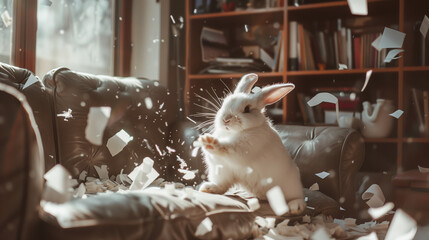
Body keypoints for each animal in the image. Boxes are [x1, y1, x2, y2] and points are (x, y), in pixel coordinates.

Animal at [196, 72, 304, 214]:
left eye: (247, 109)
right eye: (224, 103)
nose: (226, 119)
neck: (235, 132)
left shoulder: (243, 150)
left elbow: (229, 149)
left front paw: (211, 142)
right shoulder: (222, 169)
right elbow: (222, 184)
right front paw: (205, 141)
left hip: (291, 187)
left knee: (297, 197)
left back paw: (296, 207)